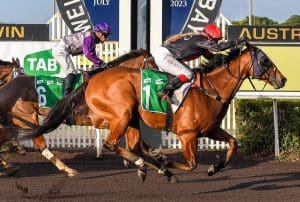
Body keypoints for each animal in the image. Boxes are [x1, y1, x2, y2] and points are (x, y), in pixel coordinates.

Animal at [0, 49, 155, 177]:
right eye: (153, 67)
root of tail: (7, 88)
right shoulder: (103, 119)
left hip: (19, 121)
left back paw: (7, 168)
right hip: (26, 117)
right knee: (40, 145)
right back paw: (68, 169)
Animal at [27, 41, 286, 183]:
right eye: (265, 59)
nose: (282, 79)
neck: (210, 89)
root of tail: (92, 79)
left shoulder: (210, 129)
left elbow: (234, 143)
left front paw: (214, 167)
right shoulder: (187, 135)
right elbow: (191, 164)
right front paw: (166, 163)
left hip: (131, 118)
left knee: (132, 146)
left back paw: (149, 166)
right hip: (121, 114)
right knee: (113, 143)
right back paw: (148, 166)